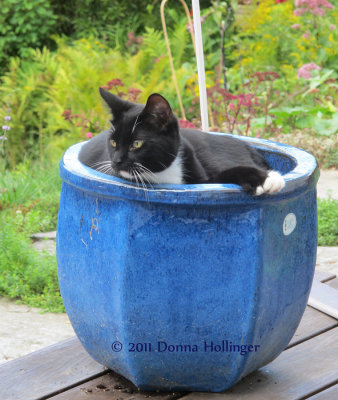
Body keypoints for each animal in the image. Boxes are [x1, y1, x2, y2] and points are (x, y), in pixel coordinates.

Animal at [79, 88, 286, 195]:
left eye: (136, 144)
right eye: (113, 143)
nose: (116, 161)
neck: (164, 175)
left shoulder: (201, 180)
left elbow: (224, 175)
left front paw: (266, 178)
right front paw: (266, 179)